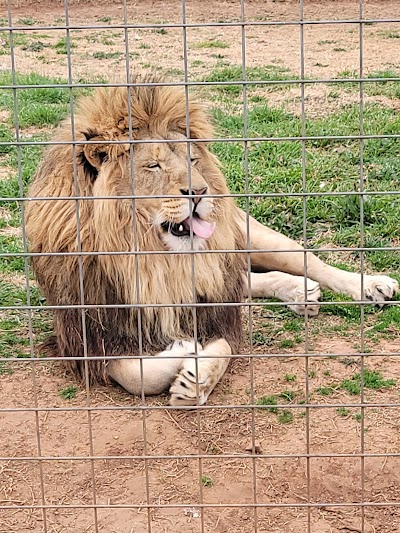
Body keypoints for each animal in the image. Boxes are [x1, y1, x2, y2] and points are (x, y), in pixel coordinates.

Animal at [25, 75, 396, 406]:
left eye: (192, 160)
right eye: (153, 166)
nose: (200, 191)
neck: (154, 260)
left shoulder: (215, 309)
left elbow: (224, 346)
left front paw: (196, 378)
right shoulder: (89, 333)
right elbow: (137, 376)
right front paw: (184, 349)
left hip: (246, 234)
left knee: (304, 258)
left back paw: (370, 285)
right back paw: (299, 292)